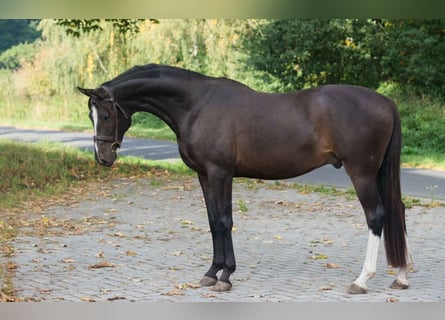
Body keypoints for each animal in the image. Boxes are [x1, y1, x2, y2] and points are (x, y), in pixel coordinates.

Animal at [78, 64, 412, 296]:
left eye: (105, 115)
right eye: (90, 116)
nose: (103, 157)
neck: (197, 105)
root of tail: (385, 101)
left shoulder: (220, 173)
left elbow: (225, 221)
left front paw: (226, 277)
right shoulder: (204, 175)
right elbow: (213, 221)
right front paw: (211, 272)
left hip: (362, 174)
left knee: (376, 217)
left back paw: (362, 280)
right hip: (377, 174)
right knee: (397, 211)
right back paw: (401, 276)